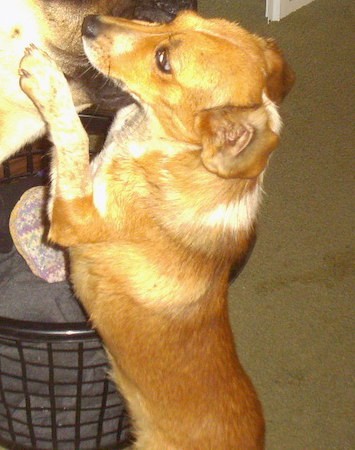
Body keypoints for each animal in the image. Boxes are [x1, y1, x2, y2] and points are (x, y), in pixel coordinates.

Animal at [18, 10, 294, 450]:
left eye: (164, 60)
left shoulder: (71, 217)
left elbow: (72, 136)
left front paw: (48, 78)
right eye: (179, 17)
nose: (90, 21)